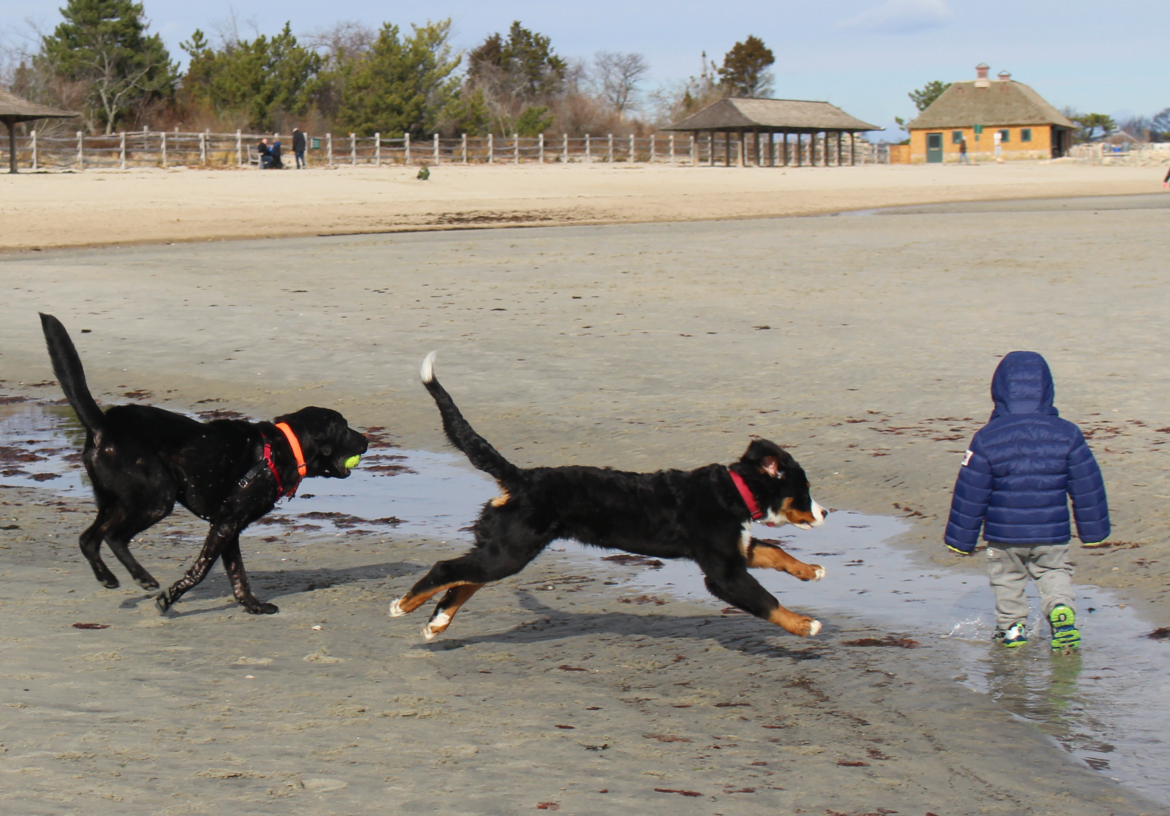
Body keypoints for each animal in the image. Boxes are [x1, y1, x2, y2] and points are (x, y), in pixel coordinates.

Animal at [42, 311, 365, 608]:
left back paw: (107, 577)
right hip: (157, 499)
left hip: (116, 502)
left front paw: (252, 606)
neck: (282, 447)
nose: (367, 440)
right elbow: (201, 570)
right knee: (114, 538)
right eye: (345, 427)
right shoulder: (225, 524)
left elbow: (238, 573)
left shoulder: (230, 528)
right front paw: (170, 598)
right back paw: (143, 577)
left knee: (88, 539)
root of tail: (103, 425)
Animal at [388, 353, 828, 641]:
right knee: (447, 569)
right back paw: (404, 606)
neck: (730, 491)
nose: (826, 512)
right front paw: (804, 624)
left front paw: (810, 570)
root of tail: (522, 477)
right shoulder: (723, 571)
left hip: (503, 549)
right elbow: (765, 599)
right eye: (803, 492)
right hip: (509, 550)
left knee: (466, 578)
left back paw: (437, 622)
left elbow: (775, 552)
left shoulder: (736, 548)